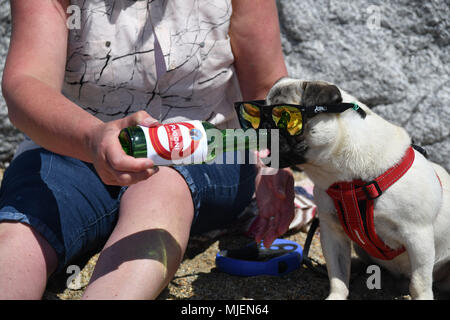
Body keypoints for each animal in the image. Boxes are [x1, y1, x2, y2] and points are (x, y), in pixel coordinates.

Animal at [264, 77, 450, 300]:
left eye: (285, 119)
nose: (264, 129)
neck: (347, 180)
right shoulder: (332, 233)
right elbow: (337, 275)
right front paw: (336, 295)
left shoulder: (418, 236)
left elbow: (419, 282)